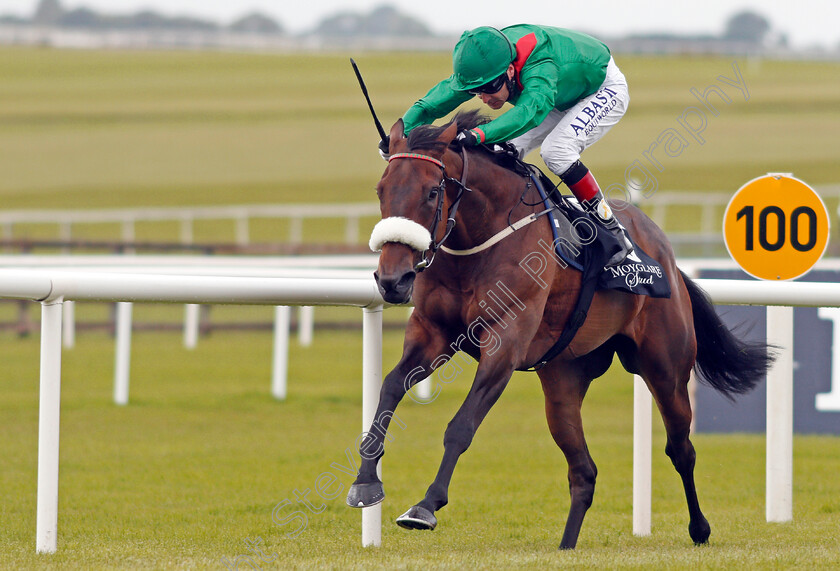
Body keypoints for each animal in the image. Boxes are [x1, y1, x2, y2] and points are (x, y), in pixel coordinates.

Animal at [348, 108, 776, 548]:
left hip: (666, 369)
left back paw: (699, 528)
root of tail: (668, 259)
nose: (392, 280)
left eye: (433, 192)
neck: (480, 239)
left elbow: (461, 426)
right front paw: (365, 482)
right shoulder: (432, 331)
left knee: (680, 449)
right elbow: (389, 388)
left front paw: (426, 505)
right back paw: (566, 545)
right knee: (584, 471)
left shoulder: (505, 341)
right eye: (381, 190)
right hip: (563, 380)